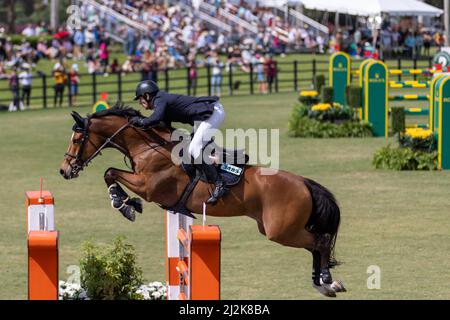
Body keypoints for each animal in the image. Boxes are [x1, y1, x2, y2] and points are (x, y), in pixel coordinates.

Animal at [59, 105, 346, 298]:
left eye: (77, 139)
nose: (64, 171)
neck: (149, 146)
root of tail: (304, 183)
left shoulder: (149, 187)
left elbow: (110, 172)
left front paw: (125, 204)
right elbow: (110, 173)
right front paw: (126, 203)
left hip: (281, 231)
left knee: (319, 242)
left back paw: (327, 281)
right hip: (277, 228)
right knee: (315, 245)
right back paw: (323, 284)